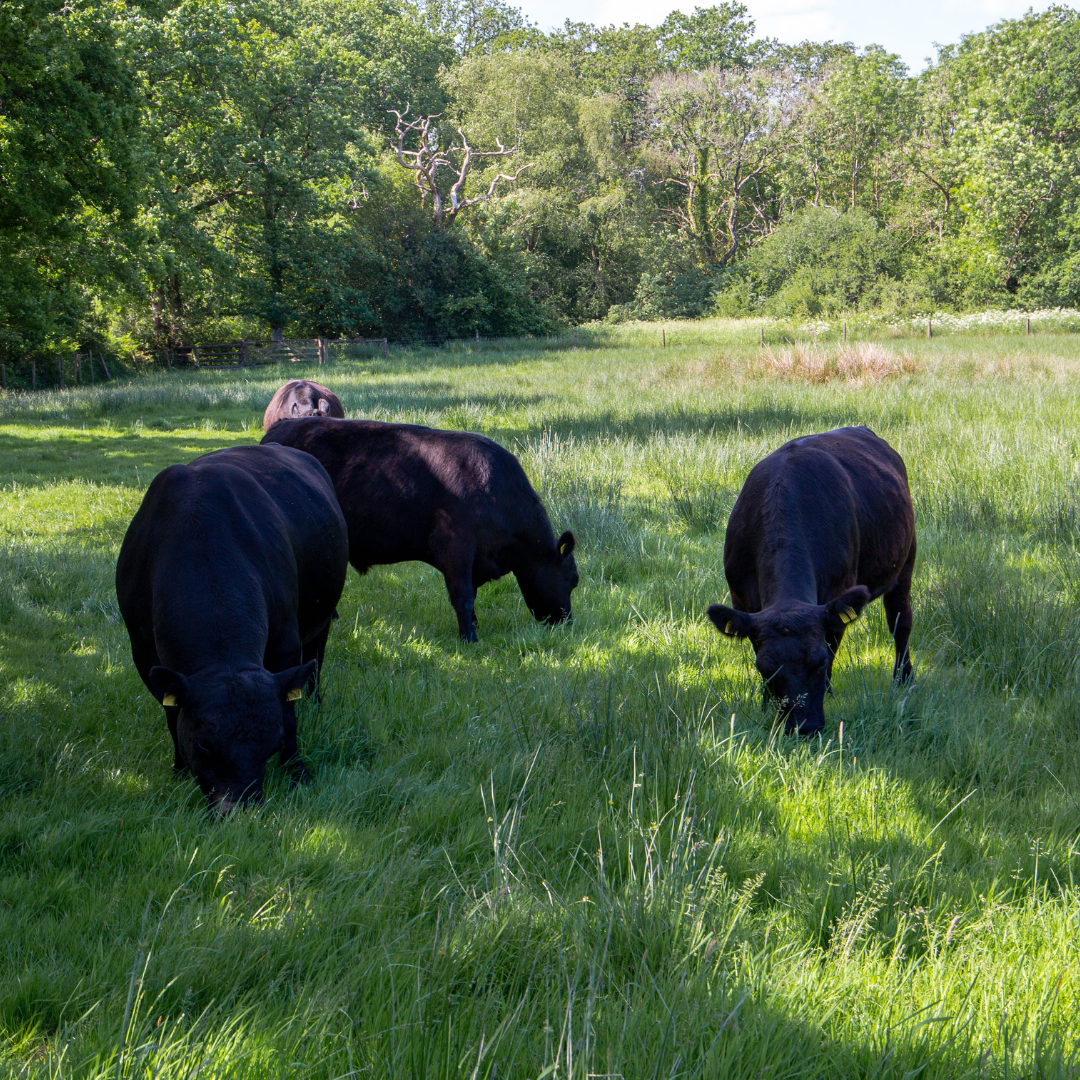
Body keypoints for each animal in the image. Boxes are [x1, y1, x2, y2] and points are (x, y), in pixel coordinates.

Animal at [117, 442, 345, 807]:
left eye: (271, 744)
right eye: (203, 744)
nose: (239, 807)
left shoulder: (285, 644)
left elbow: (289, 717)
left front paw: (298, 773)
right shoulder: (143, 653)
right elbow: (172, 717)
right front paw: (179, 771)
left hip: (320, 619)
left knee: (316, 661)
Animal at [261, 416, 578, 639]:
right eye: (573, 580)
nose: (566, 622)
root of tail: (278, 430)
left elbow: (470, 598)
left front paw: (474, 628)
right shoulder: (455, 548)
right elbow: (463, 597)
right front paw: (469, 639)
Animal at [704, 423, 915, 734]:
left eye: (819, 662)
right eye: (765, 668)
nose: (804, 727)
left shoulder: (835, 602)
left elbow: (833, 648)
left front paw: (827, 692)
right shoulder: (743, 602)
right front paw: (766, 705)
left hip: (905, 561)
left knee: (900, 621)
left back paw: (904, 678)